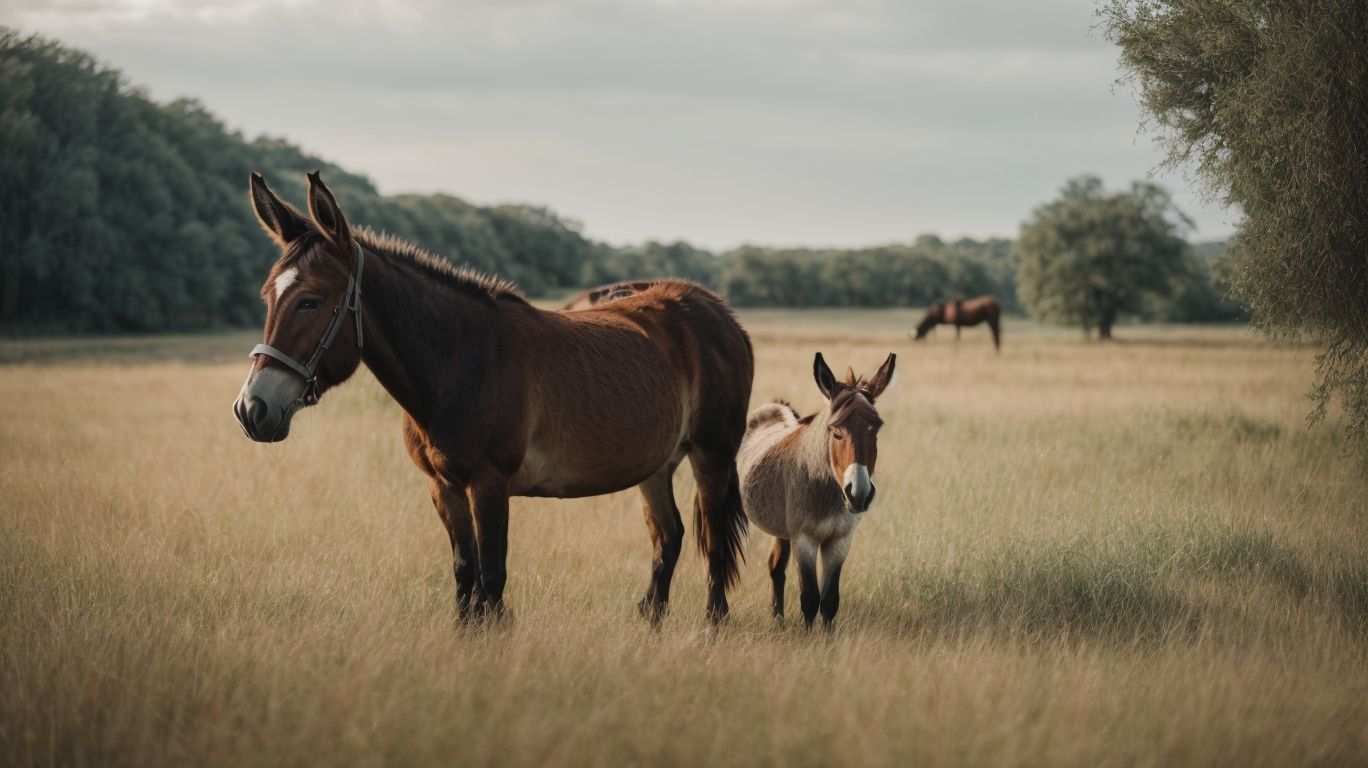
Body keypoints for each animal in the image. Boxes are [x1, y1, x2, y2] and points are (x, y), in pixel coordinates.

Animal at [232, 172, 754, 625]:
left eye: (311, 300)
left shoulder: (489, 484)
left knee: (713, 546)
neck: (459, 361)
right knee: (668, 539)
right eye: (267, 295)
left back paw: (712, 627)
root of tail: (719, 312)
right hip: (655, 466)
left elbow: (492, 579)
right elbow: (466, 575)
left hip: (710, 457)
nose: (252, 409)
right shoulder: (443, 487)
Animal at [736, 352, 896, 630]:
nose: (859, 493)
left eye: (875, 428)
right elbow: (810, 598)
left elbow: (830, 600)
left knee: (775, 567)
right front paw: (808, 637)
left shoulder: (840, 541)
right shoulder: (805, 541)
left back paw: (778, 620)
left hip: (782, 531)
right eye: (836, 432)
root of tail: (773, 407)